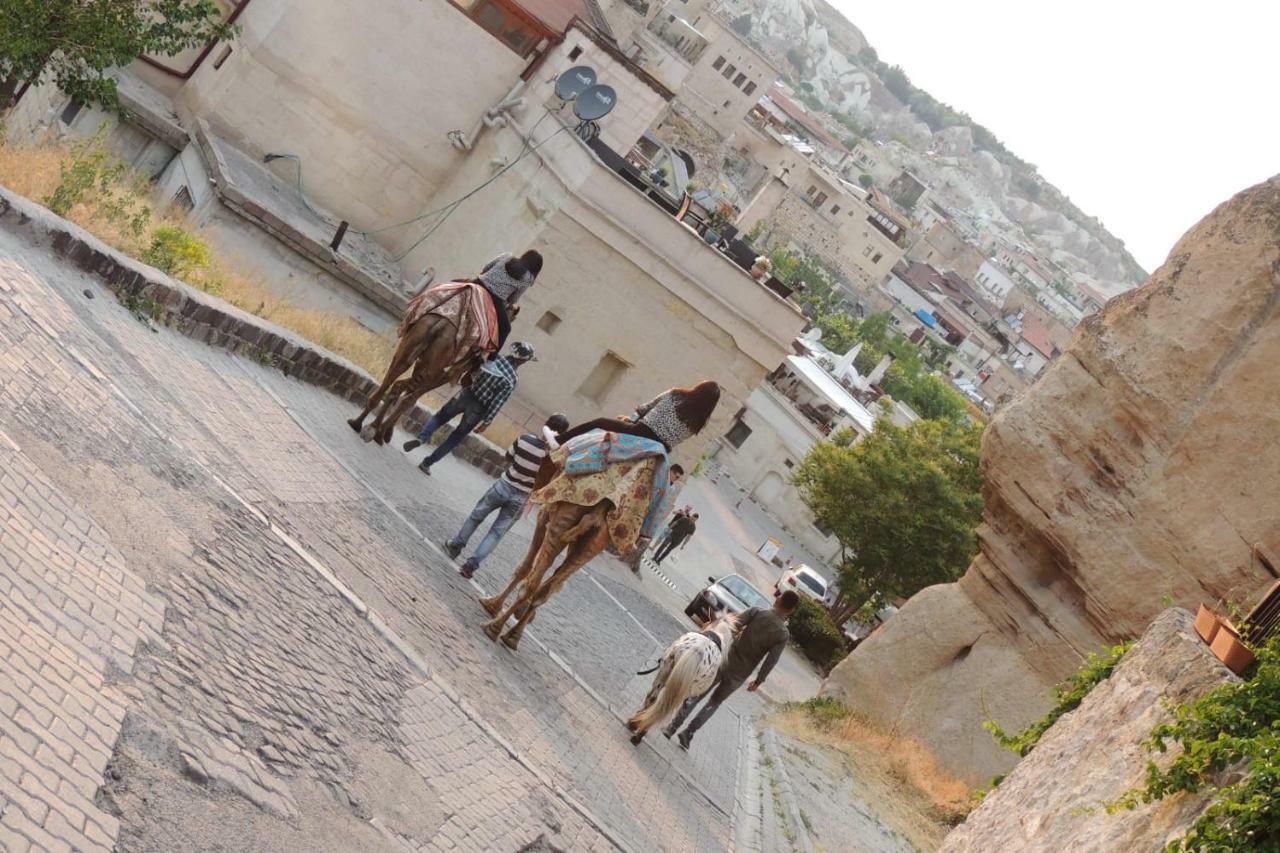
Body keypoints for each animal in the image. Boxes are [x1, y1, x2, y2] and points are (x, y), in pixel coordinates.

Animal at [481, 494, 614, 648]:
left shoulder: (543, 514)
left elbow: (525, 567)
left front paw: (491, 605)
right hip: (592, 546)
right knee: (545, 590)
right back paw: (512, 638)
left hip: (561, 526)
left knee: (532, 585)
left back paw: (493, 628)